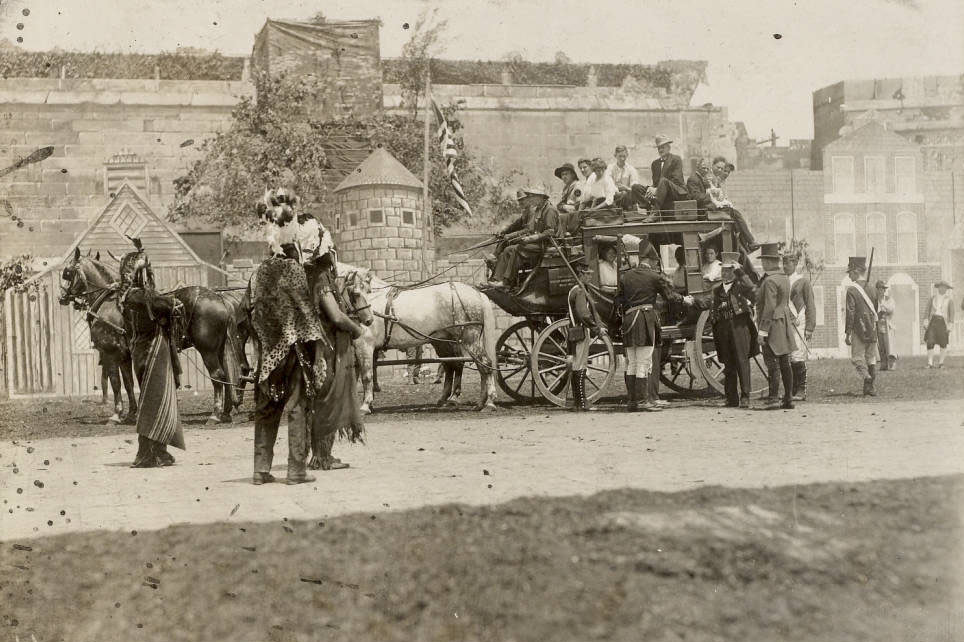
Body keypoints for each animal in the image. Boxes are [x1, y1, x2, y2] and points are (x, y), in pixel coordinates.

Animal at [59, 248, 241, 422]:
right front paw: (132, 413)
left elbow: (116, 383)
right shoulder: (124, 356)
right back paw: (226, 412)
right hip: (219, 349)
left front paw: (117, 414)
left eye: (67, 272)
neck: (108, 303)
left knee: (217, 376)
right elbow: (128, 383)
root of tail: (219, 299)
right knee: (226, 377)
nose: (61, 296)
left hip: (207, 350)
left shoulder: (110, 354)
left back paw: (215, 414)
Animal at [338, 262, 500, 416]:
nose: (368, 320)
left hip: (469, 339)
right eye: (356, 294)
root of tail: (476, 293)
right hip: (450, 342)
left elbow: (366, 376)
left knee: (484, 365)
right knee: (465, 366)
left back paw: (489, 403)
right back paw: (475, 402)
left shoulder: (364, 346)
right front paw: (367, 404)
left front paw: (365, 406)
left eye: (366, 292)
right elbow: (361, 374)